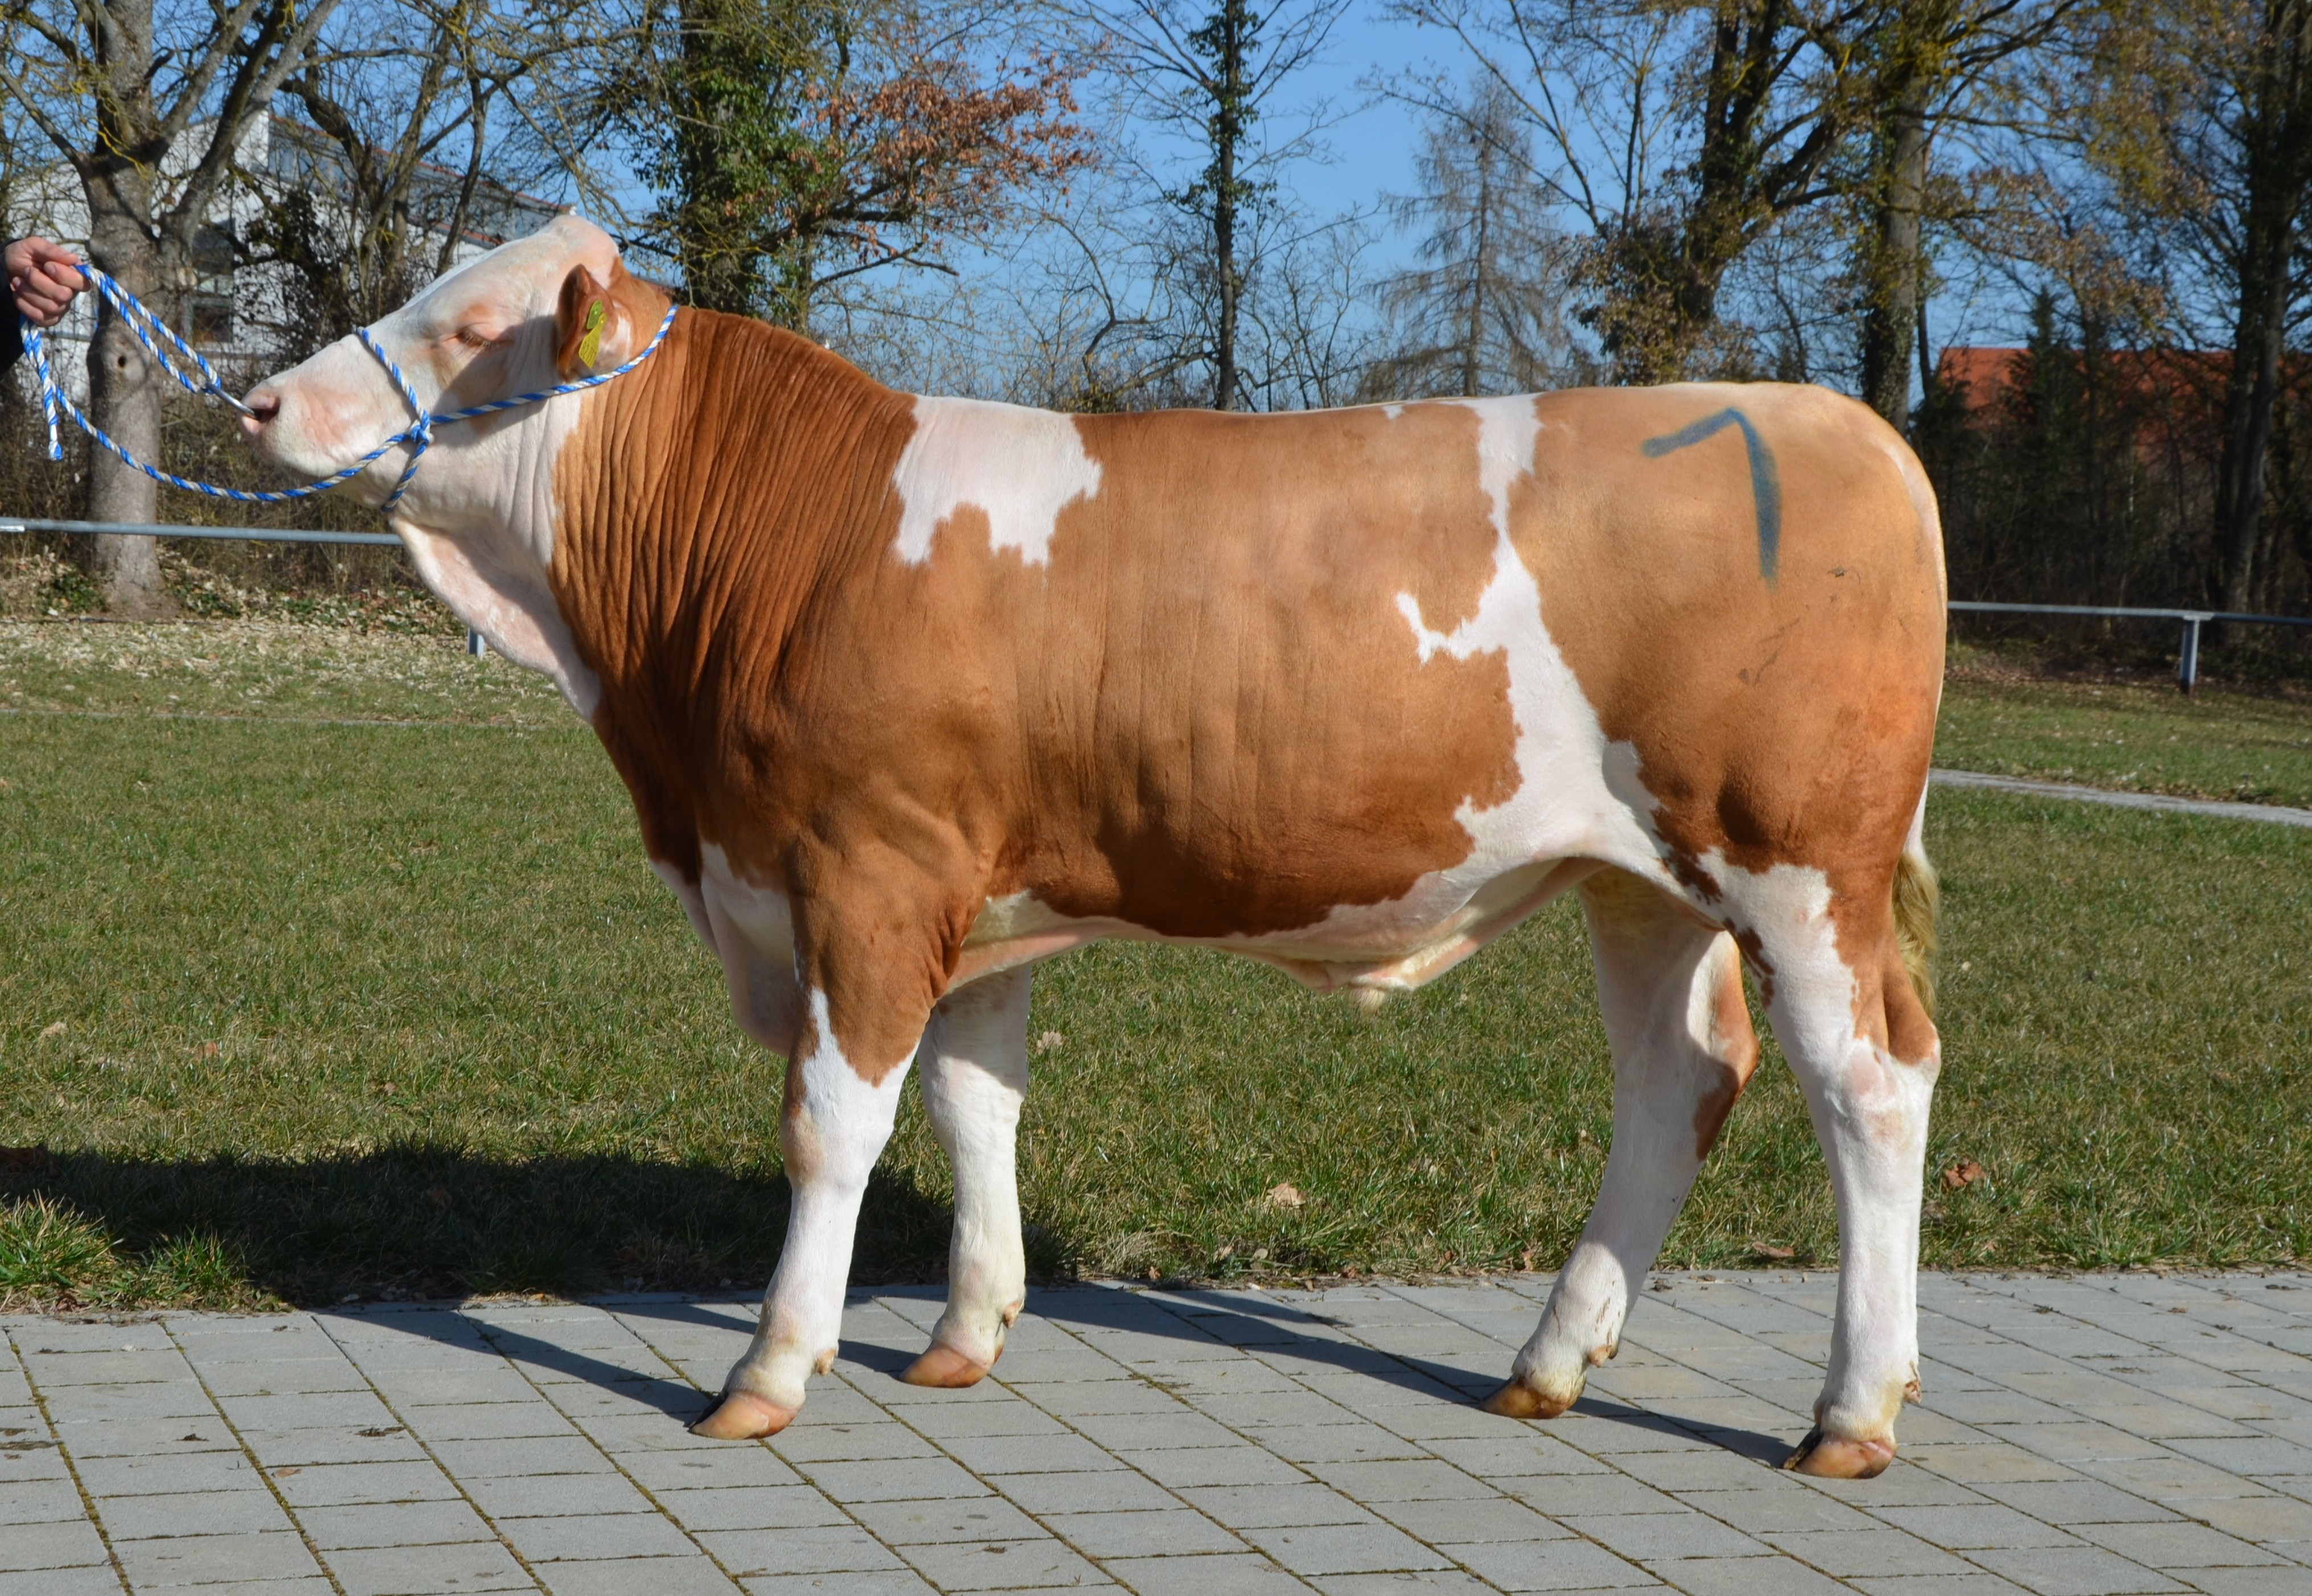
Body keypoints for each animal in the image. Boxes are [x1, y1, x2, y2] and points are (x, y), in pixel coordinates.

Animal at [241, 213, 1946, 1480]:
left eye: (471, 324)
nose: (260, 400)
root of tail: (1830, 418)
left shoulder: (867, 872)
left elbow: (831, 1126)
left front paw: (768, 1367)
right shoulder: (972, 891)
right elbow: (972, 1104)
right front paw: (960, 1334)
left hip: (1797, 863)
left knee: (1867, 1082)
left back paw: (1847, 1412)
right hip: (1640, 882)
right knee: (1676, 1084)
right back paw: (1546, 1363)